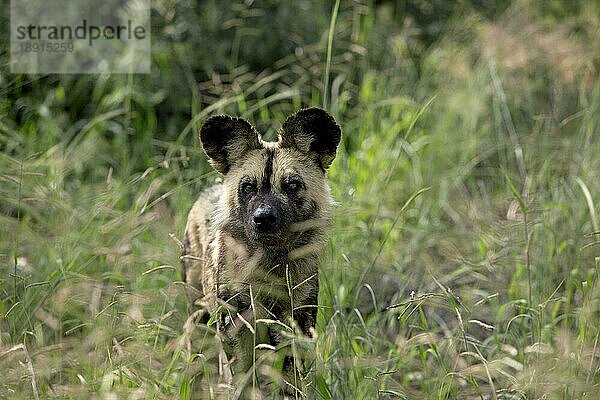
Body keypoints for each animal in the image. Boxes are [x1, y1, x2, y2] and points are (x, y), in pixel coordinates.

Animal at [183, 108, 340, 382]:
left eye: (291, 185)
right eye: (247, 187)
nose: (263, 217)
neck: (270, 265)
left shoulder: (296, 326)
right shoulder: (235, 329)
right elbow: (240, 378)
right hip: (199, 314)